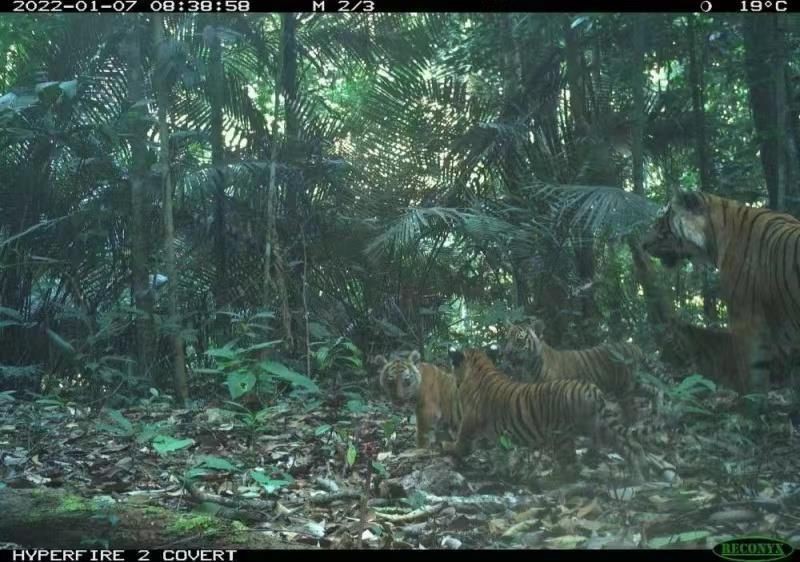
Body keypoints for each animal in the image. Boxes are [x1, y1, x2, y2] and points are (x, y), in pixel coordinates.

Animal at [444, 348, 648, 481]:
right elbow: (500, 452)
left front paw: (447, 447)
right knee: (626, 445)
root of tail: (591, 388)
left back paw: (555, 478)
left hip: (562, 435)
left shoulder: (468, 421)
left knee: (571, 463)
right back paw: (638, 476)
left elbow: (462, 442)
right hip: (599, 426)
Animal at [501, 320, 658, 421]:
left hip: (625, 389)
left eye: (519, 340)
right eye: (506, 338)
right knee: (653, 389)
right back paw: (657, 410)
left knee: (631, 409)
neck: (529, 366)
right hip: (632, 384)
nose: (506, 353)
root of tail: (633, 346)